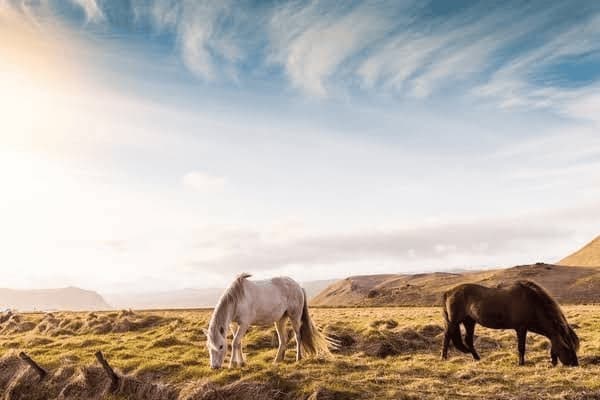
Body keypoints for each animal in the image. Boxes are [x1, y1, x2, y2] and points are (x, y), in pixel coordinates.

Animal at [442, 280, 580, 368]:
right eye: (567, 347)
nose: (575, 365)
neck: (532, 303)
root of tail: (448, 292)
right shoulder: (521, 329)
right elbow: (521, 348)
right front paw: (521, 364)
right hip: (454, 321)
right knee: (447, 336)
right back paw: (443, 358)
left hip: (469, 321)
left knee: (468, 340)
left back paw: (477, 358)